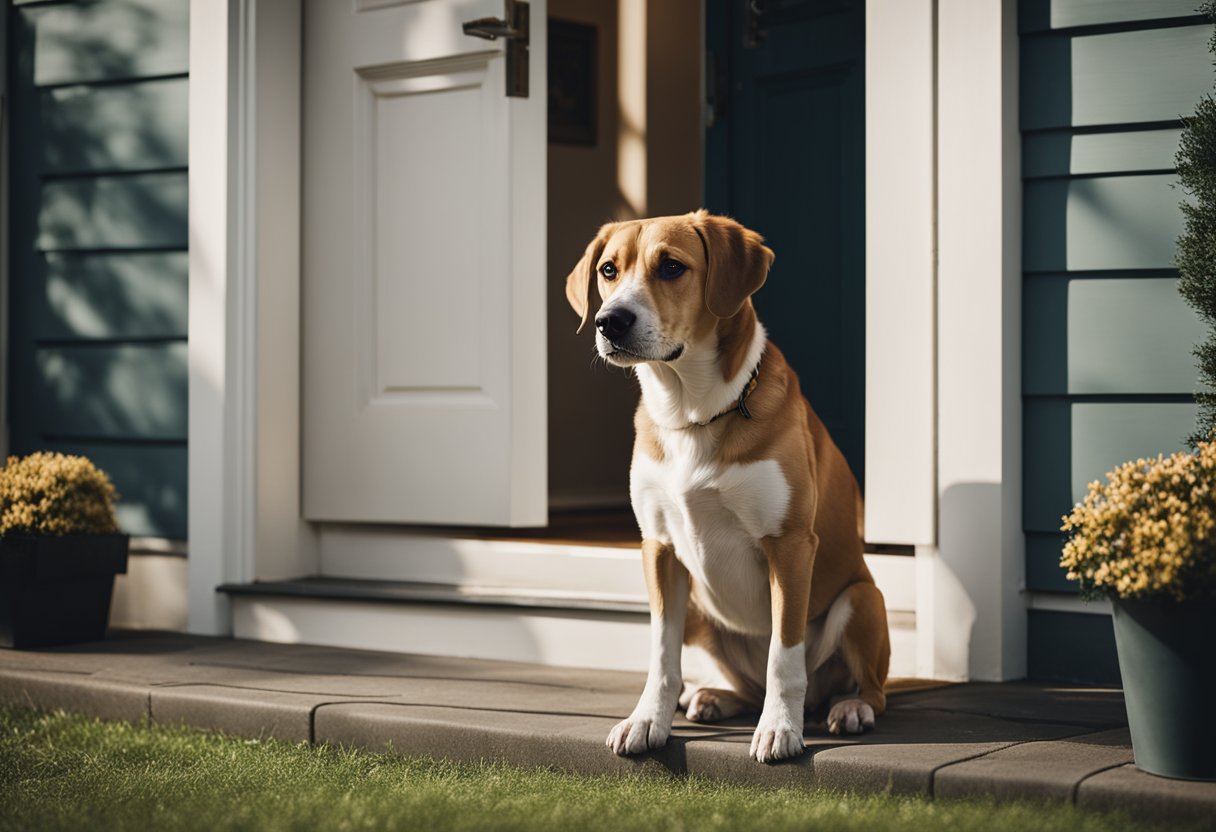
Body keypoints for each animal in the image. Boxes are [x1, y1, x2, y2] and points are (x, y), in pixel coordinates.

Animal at [561, 208, 894, 759]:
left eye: (671, 267)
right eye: (609, 270)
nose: (611, 321)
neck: (692, 414)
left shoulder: (789, 545)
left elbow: (784, 655)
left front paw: (780, 727)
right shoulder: (659, 547)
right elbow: (661, 654)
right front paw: (647, 719)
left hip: (862, 599)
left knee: (862, 687)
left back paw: (849, 707)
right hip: (700, 608)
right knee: (741, 685)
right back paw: (712, 696)